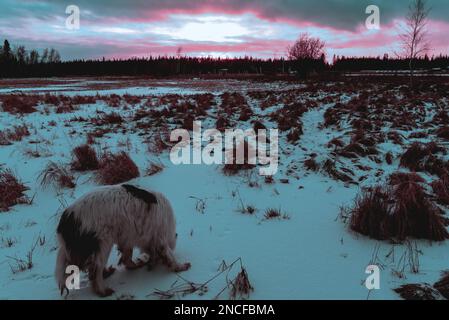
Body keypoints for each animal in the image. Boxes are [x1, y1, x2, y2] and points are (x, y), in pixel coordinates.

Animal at [55, 184, 190, 296]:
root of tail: (67, 218)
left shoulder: (127, 238)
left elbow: (127, 256)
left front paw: (135, 265)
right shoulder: (160, 237)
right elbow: (169, 255)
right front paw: (180, 266)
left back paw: (107, 273)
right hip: (103, 244)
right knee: (95, 270)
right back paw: (103, 290)